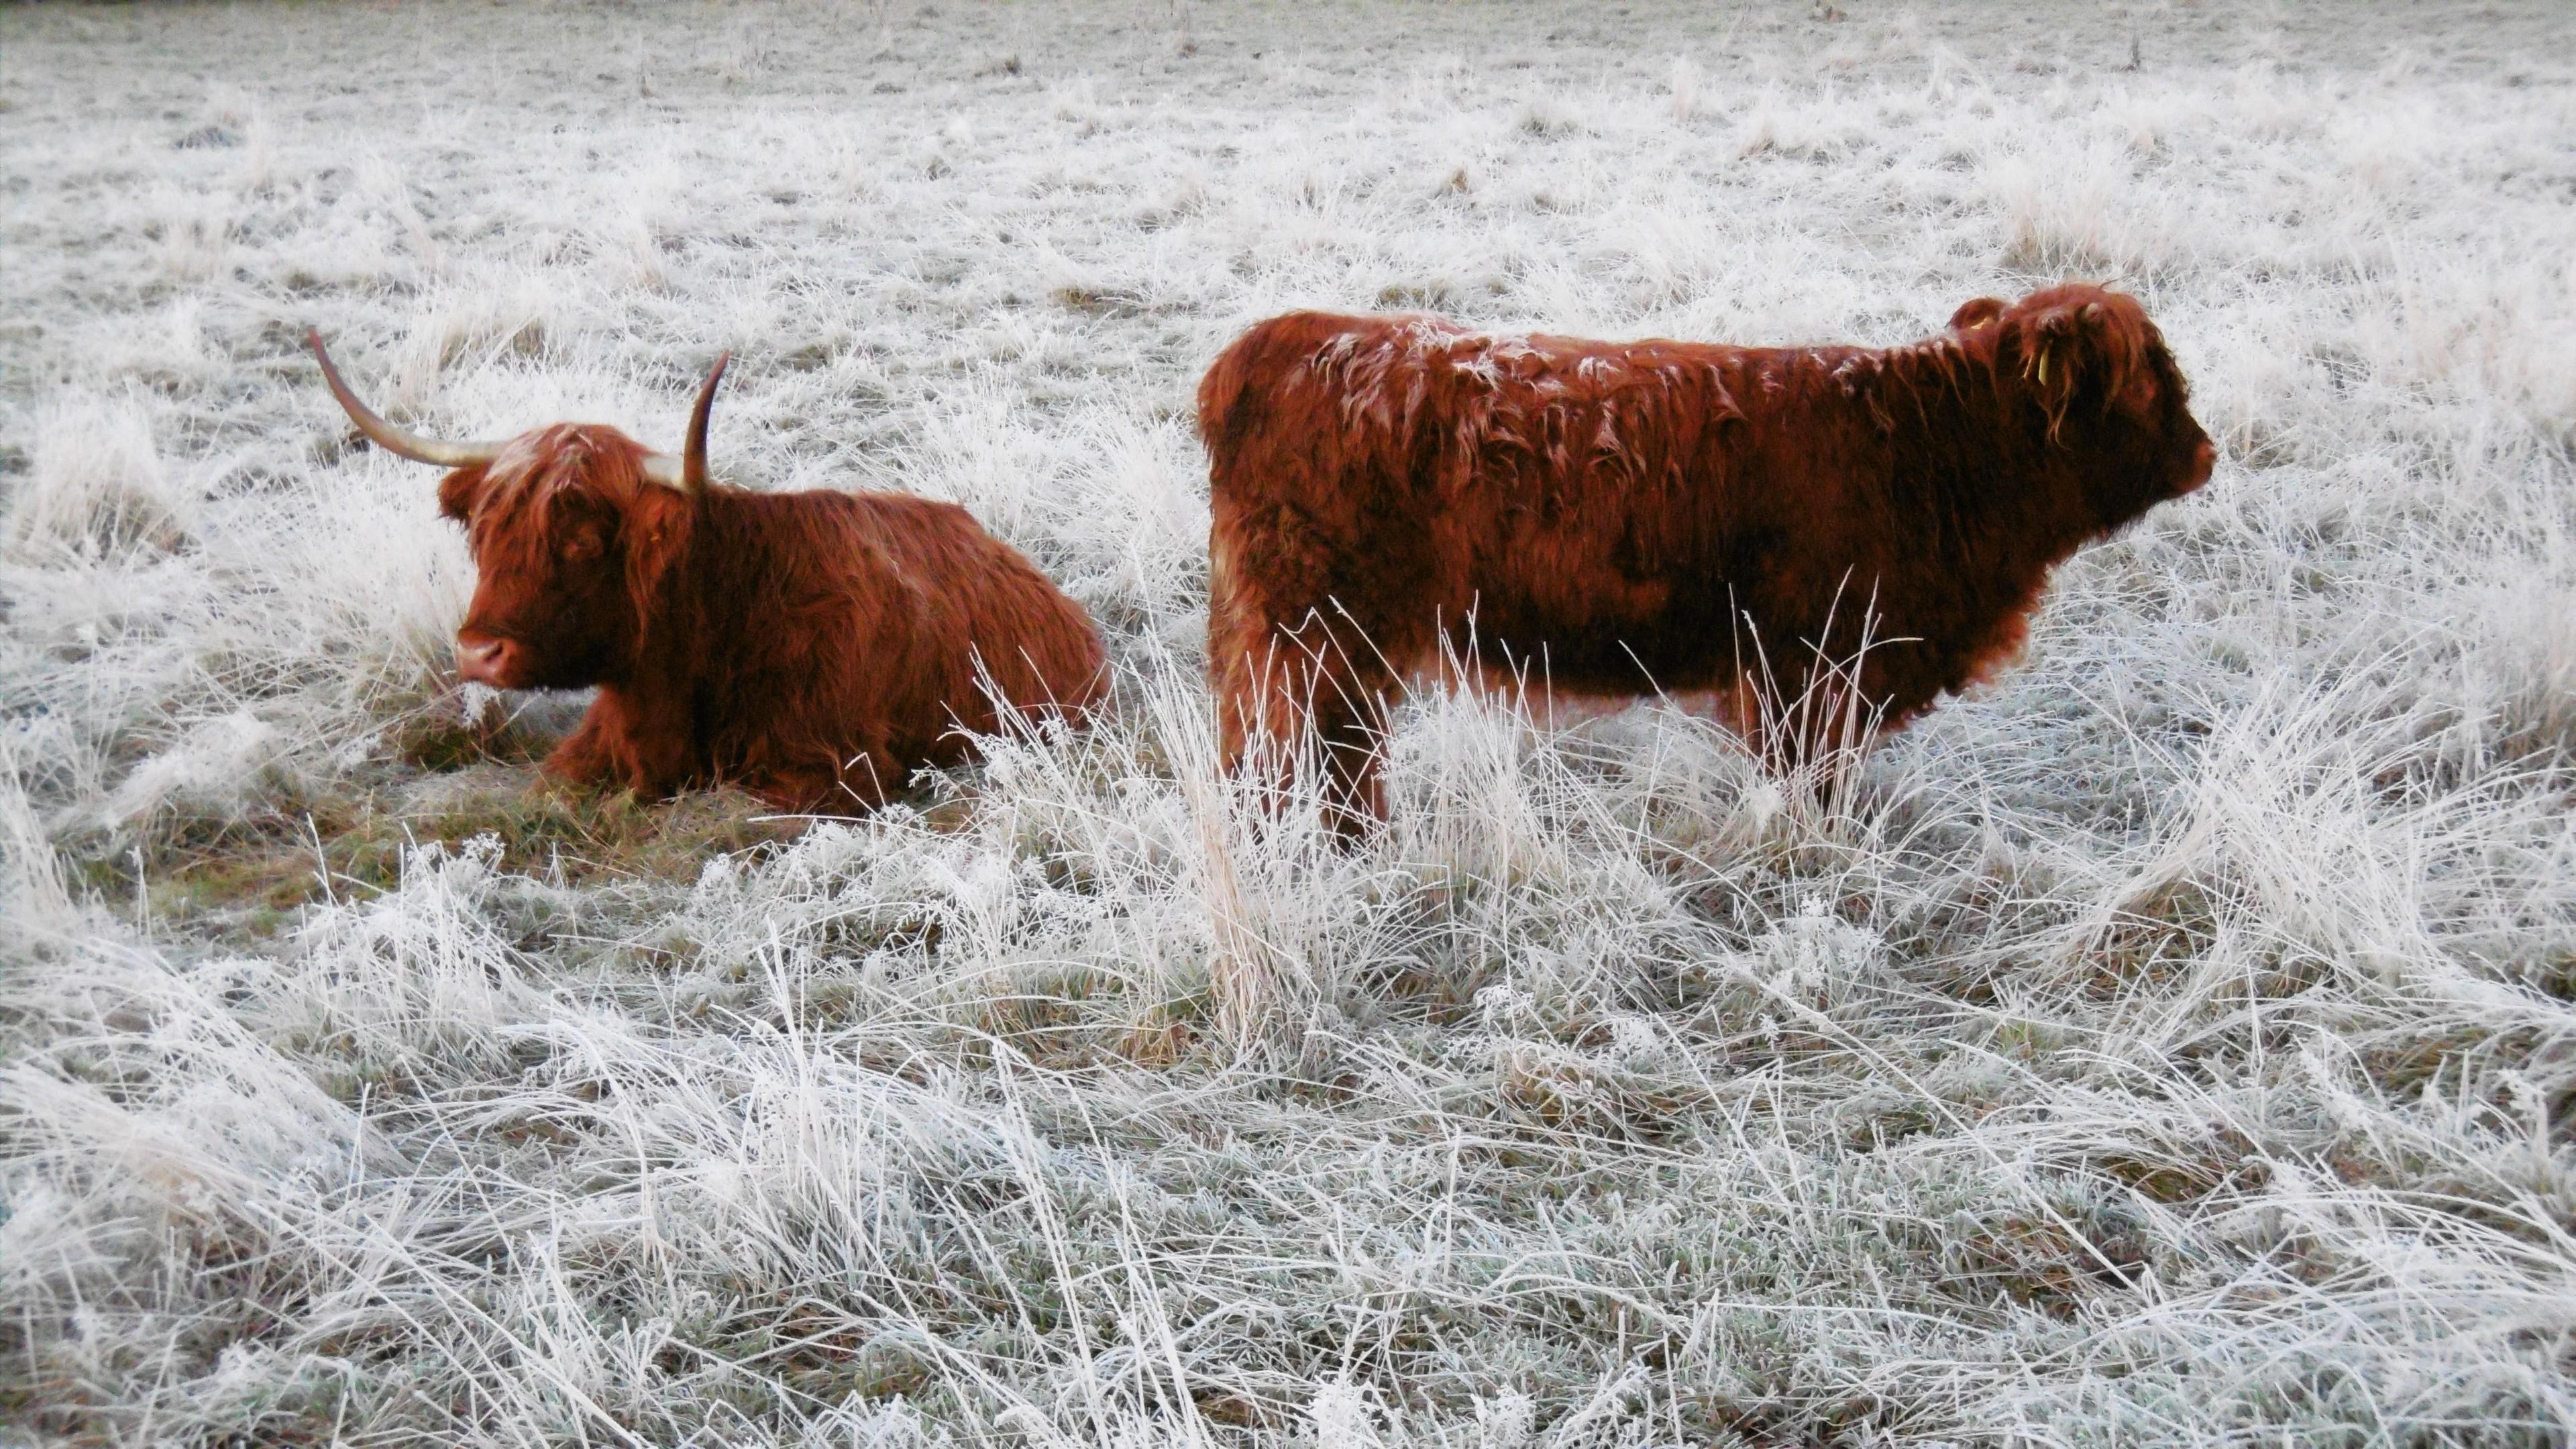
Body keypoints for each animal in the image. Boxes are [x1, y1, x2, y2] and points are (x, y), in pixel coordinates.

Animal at [1195, 283, 2225, 830]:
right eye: (2148, 385)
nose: (2208, 452)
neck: (1930, 450)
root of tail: (1284, 339)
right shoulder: (1812, 668)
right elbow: (1811, 780)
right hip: (1313, 635)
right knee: (1293, 748)